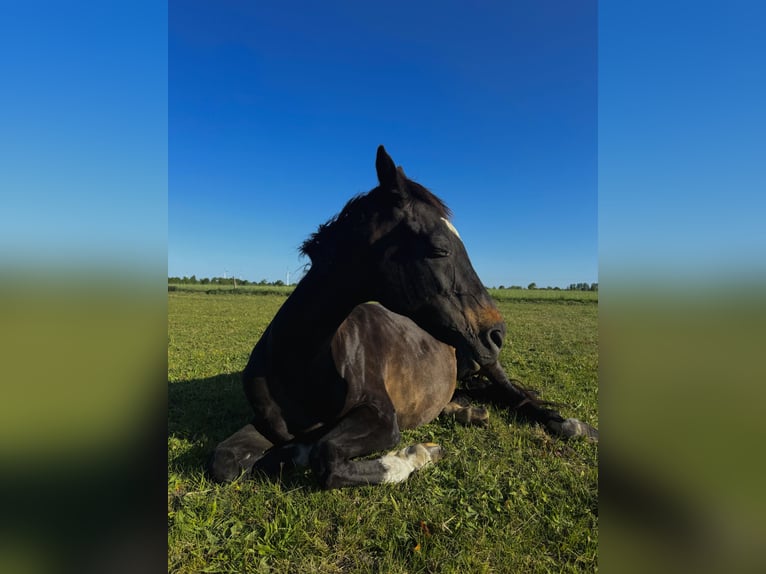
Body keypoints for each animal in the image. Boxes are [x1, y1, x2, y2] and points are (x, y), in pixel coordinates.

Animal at [209, 146, 597, 489]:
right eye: (440, 249)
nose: (497, 332)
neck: (301, 363)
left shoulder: (381, 418)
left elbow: (327, 456)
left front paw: (419, 454)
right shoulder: (265, 426)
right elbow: (225, 461)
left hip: (486, 359)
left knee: (517, 396)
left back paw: (572, 426)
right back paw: (467, 411)